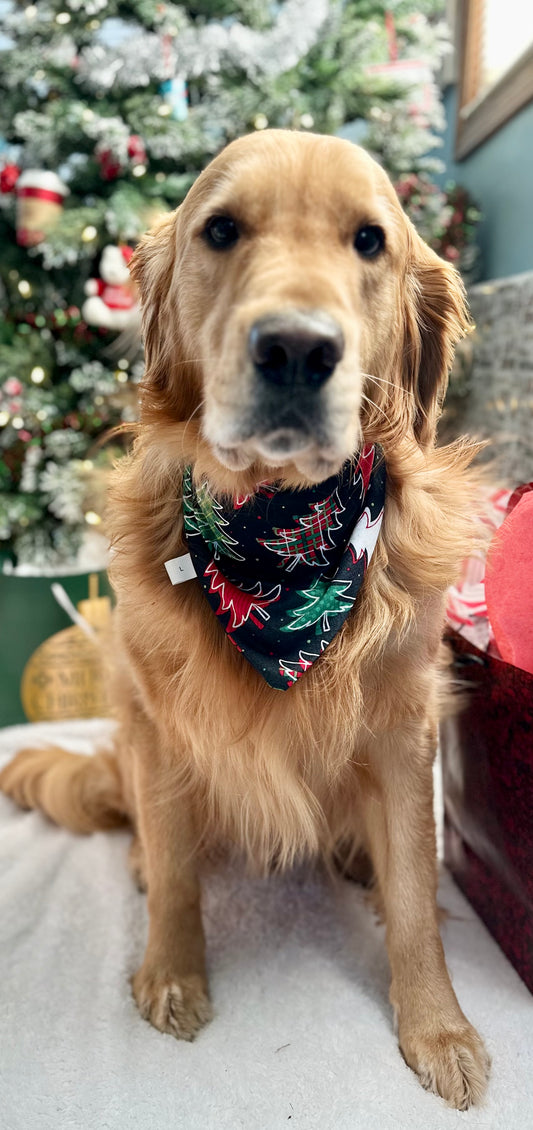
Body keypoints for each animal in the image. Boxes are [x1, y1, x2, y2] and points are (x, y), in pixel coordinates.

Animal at [1, 129, 492, 1102]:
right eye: (221, 229)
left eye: (369, 241)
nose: (297, 349)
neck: (282, 551)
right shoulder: (157, 719)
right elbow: (180, 873)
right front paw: (171, 972)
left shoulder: (404, 724)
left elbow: (416, 891)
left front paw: (436, 1027)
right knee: (148, 826)